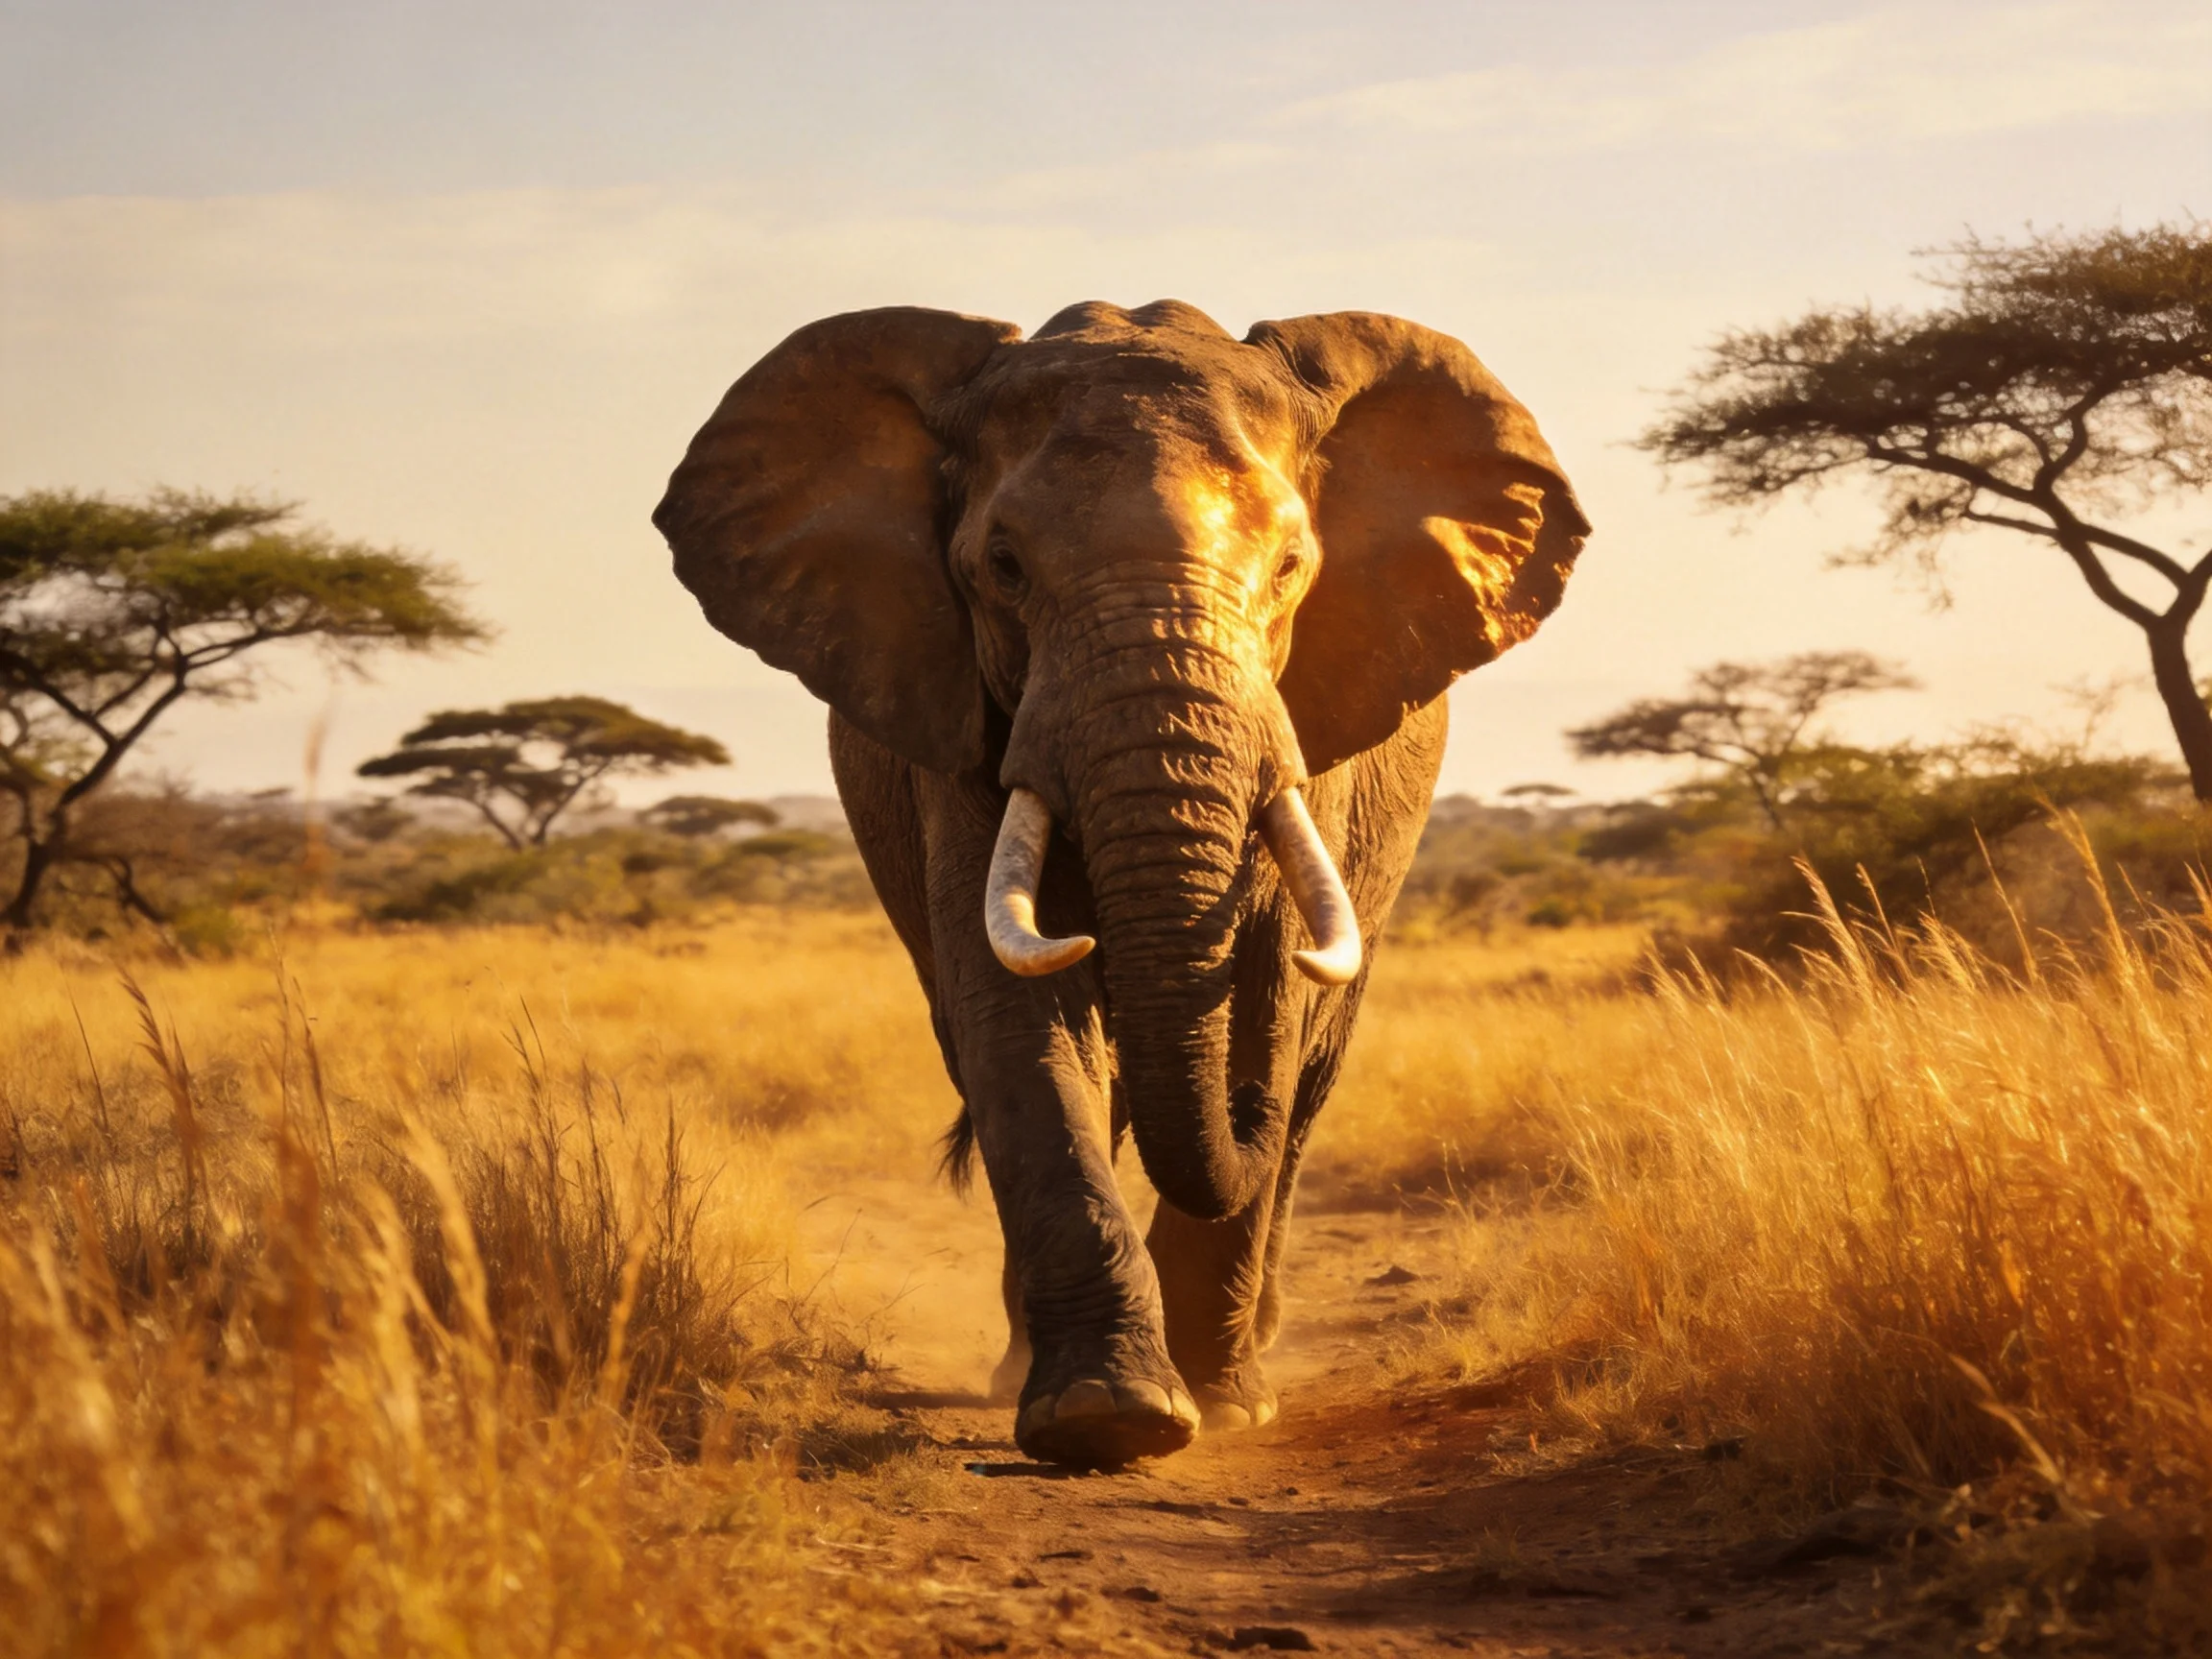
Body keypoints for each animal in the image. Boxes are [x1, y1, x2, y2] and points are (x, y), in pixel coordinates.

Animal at [654, 299, 1588, 1468]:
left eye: (1292, 565)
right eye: (1002, 564)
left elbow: (1268, 997)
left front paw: (1220, 1411)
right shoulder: (959, 729)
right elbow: (1018, 1020)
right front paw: (1106, 1418)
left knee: (1310, 1084)